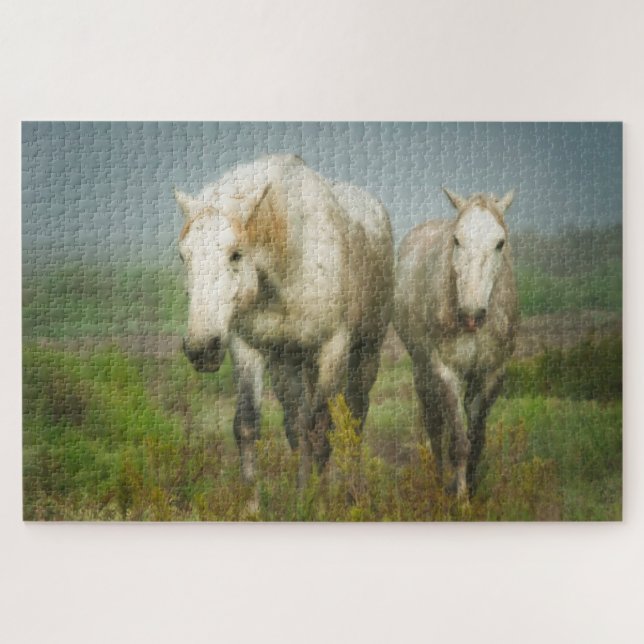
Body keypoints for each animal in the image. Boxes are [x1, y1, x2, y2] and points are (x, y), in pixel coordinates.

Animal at [175, 154, 394, 485]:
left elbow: (322, 431)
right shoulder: (247, 348)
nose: (201, 348)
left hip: (366, 351)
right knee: (296, 424)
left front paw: (320, 497)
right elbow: (248, 426)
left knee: (355, 418)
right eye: (183, 256)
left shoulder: (334, 348)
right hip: (288, 362)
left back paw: (352, 488)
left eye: (236, 254)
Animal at [393, 188, 518, 499]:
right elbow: (459, 442)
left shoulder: (492, 374)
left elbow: (477, 439)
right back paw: (438, 480)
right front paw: (461, 499)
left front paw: (471, 487)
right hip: (422, 368)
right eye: (457, 239)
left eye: (500, 243)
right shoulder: (446, 372)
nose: (471, 314)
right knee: (435, 426)